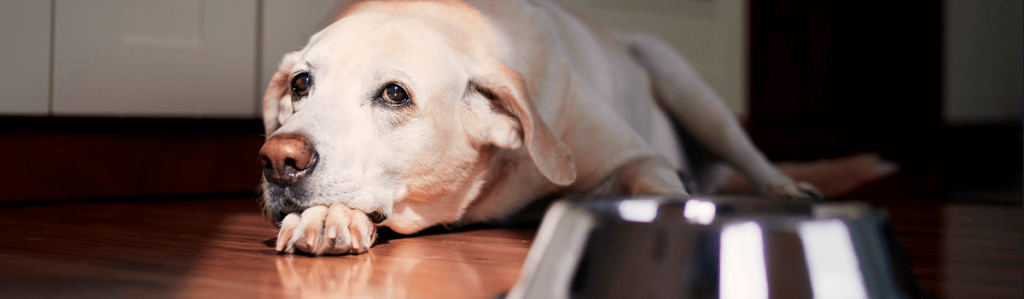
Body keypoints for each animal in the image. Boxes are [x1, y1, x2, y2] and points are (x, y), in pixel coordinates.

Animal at [260, 0, 819, 255]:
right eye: (301, 83)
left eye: (395, 94)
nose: (278, 161)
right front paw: (325, 217)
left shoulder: (635, 156)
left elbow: (655, 184)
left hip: (681, 79)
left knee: (750, 153)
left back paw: (788, 188)